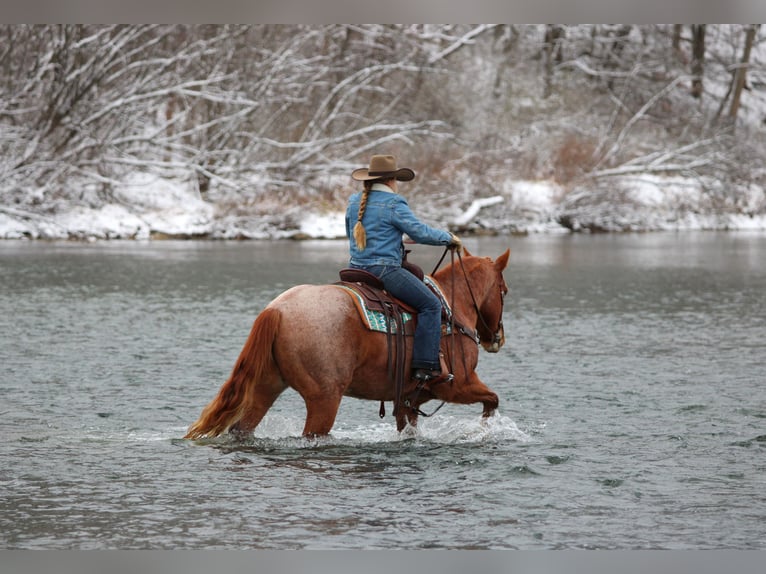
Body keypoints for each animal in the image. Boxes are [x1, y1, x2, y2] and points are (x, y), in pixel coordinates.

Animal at [184, 247, 510, 439]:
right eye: (504, 291)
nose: (497, 338)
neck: (451, 309)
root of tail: (277, 309)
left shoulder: (409, 399)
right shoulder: (458, 385)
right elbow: (492, 399)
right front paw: (486, 431)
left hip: (266, 387)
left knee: (242, 427)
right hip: (324, 398)